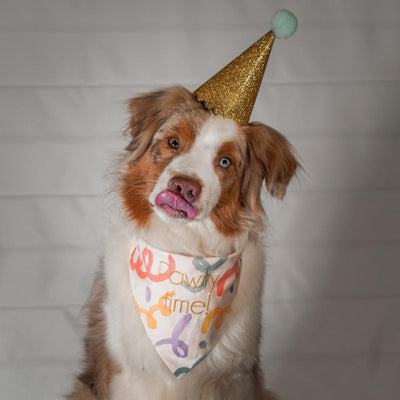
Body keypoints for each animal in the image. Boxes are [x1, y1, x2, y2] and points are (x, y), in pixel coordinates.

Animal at [69, 87, 298, 400]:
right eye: (173, 142)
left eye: (225, 162)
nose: (184, 187)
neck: (183, 249)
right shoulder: (126, 372)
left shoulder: (236, 377)